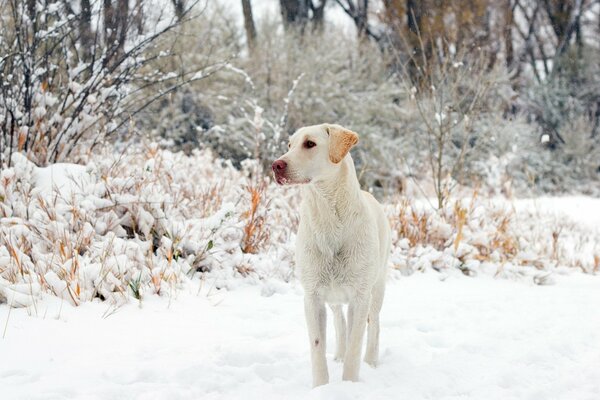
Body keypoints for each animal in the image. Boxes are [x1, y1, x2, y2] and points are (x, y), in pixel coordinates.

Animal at [274, 123, 394, 386]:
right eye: (289, 145)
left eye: (309, 144)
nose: (276, 165)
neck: (328, 216)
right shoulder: (312, 297)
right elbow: (318, 346)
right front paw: (321, 386)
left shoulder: (360, 297)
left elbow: (355, 346)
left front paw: (349, 384)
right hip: (333, 295)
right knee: (340, 322)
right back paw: (338, 354)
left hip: (377, 287)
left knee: (374, 325)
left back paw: (371, 361)